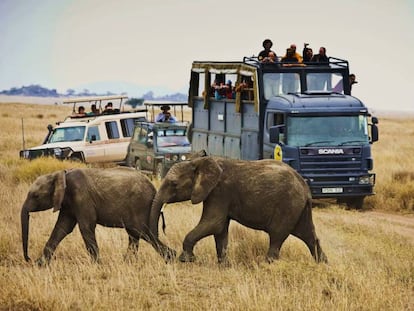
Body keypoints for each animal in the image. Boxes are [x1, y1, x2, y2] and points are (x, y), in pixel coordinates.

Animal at [21, 168, 175, 266]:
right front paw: (40, 264)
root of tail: (154, 188)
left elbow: (86, 227)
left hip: (140, 205)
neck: (62, 175)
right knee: (134, 234)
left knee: (142, 232)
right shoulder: (68, 203)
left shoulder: (81, 197)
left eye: (35, 196)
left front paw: (97, 265)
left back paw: (171, 258)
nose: (29, 259)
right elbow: (62, 228)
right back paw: (129, 262)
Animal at [150, 157, 328, 264]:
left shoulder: (219, 192)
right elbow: (220, 229)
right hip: (299, 208)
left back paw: (266, 266)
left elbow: (213, 223)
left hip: (288, 206)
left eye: (173, 184)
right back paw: (323, 265)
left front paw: (186, 260)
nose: (170, 255)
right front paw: (224, 265)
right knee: (308, 236)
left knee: (277, 236)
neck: (200, 161)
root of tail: (305, 188)